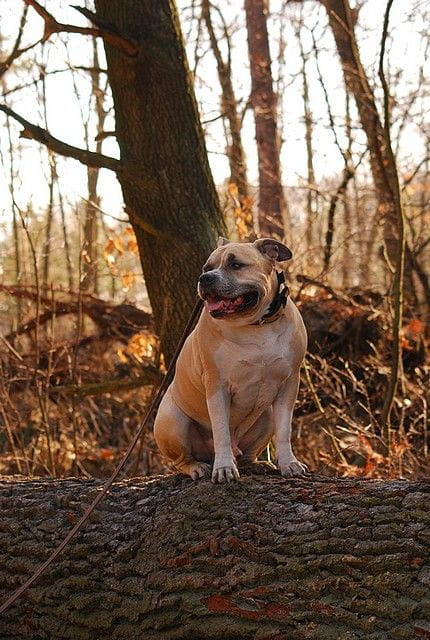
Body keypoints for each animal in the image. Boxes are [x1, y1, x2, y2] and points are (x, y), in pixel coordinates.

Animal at [155, 238, 310, 482]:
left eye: (236, 265)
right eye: (206, 268)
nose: (205, 278)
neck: (255, 325)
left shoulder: (289, 383)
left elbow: (284, 430)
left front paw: (289, 463)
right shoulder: (217, 387)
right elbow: (221, 431)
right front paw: (224, 468)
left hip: (266, 416)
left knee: (248, 452)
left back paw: (256, 464)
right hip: (173, 421)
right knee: (182, 459)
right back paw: (197, 467)